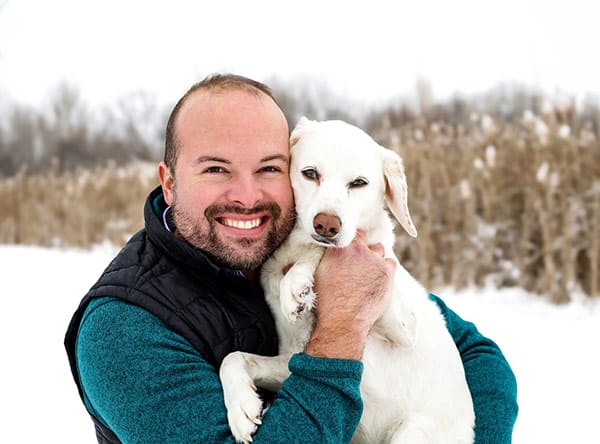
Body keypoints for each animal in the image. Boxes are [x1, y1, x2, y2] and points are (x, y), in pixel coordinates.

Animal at [218, 118, 476, 444]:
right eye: (310, 173)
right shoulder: (294, 360)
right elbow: (233, 357)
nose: (326, 225)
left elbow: (321, 254)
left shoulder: (404, 326)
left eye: (359, 183)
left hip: (414, 432)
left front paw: (297, 283)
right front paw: (241, 407)